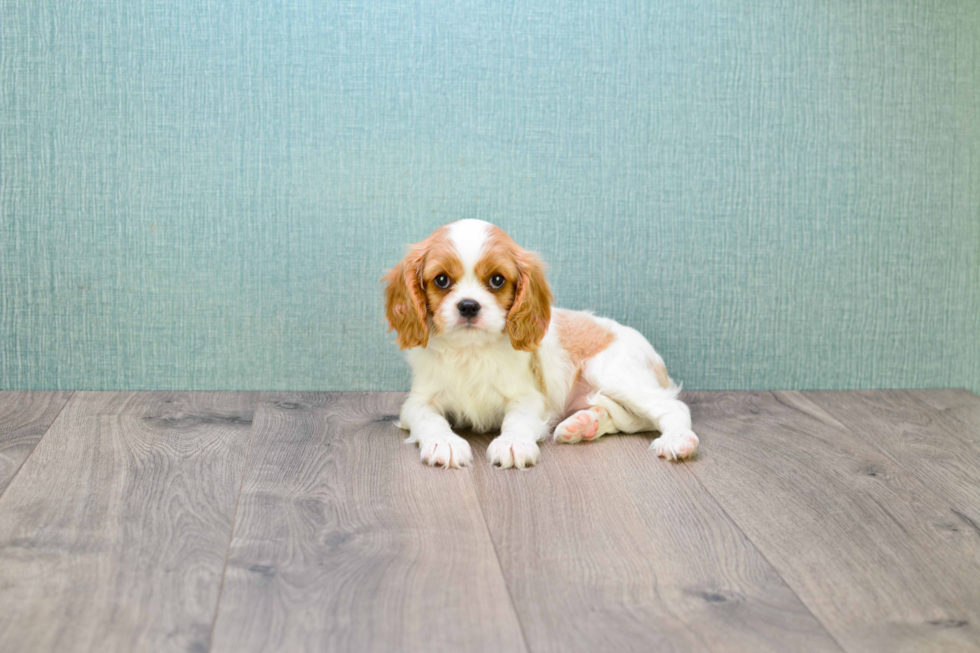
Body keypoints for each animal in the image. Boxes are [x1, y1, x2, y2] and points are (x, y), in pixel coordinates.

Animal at [380, 220, 696, 468]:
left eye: (497, 280)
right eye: (442, 280)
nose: (469, 306)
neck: (471, 351)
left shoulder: (528, 397)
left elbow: (517, 419)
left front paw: (512, 443)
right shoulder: (418, 402)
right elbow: (431, 420)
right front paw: (444, 443)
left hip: (610, 372)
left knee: (672, 407)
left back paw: (678, 440)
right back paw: (584, 424)